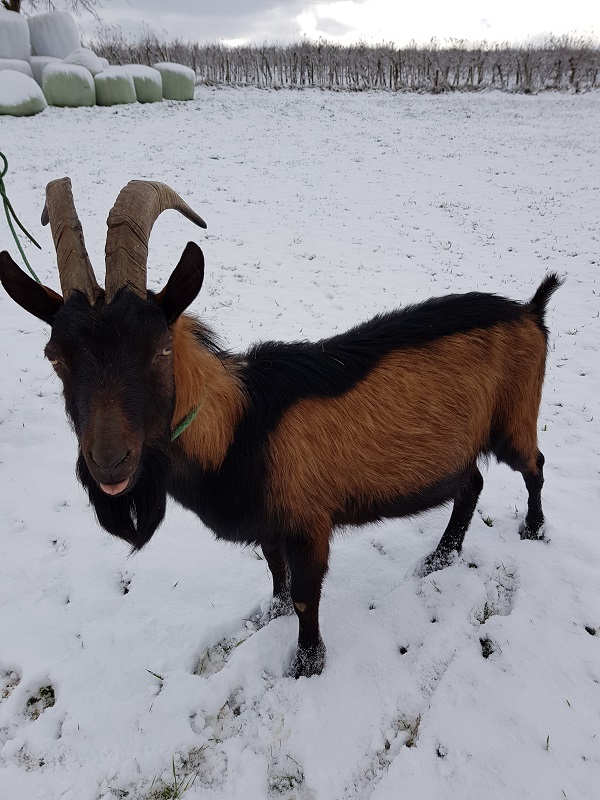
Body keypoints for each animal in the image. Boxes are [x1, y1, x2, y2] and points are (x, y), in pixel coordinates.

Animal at [1, 180, 564, 676]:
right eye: (55, 357)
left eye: (159, 348)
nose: (110, 464)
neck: (237, 427)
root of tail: (531, 311)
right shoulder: (269, 524)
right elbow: (275, 573)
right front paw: (266, 618)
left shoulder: (308, 522)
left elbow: (304, 596)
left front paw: (307, 665)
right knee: (472, 483)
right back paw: (440, 558)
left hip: (514, 419)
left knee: (532, 465)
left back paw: (533, 529)